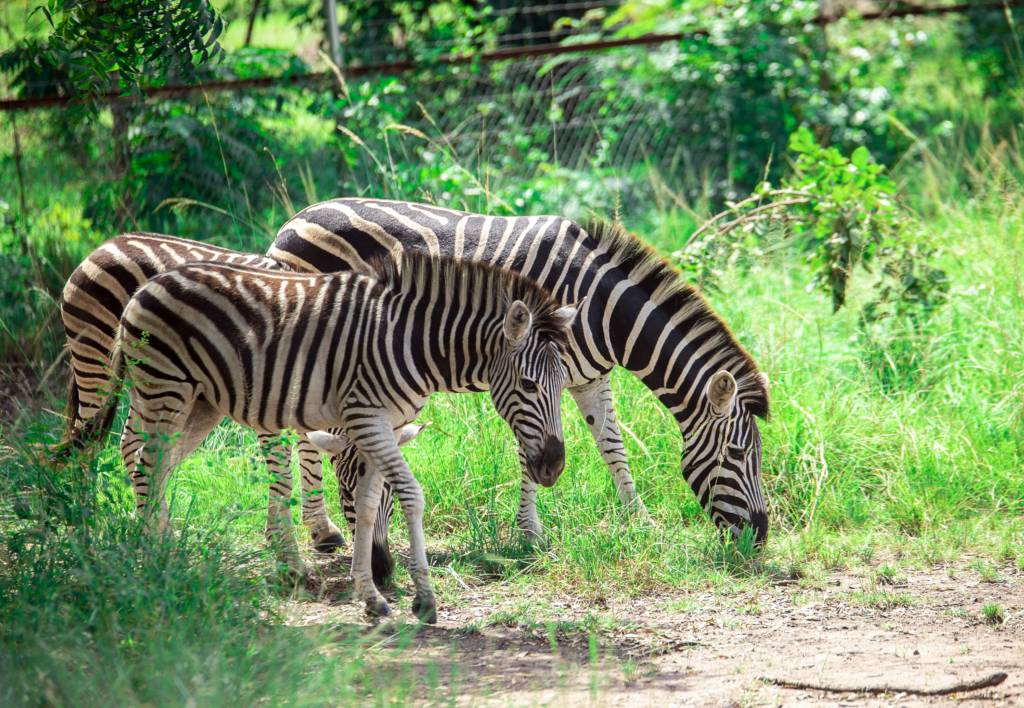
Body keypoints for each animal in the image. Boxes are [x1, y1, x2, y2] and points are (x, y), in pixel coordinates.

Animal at [58, 232, 352, 577]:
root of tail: (107, 244)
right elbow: (284, 468)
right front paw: (289, 552)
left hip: (156, 385)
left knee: (133, 446)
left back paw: (156, 537)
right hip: (97, 360)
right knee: (87, 450)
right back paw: (87, 541)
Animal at [73, 253, 581, 618]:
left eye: (563, 385)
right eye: (530, 385)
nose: (554, 468)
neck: (412, 344)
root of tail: (144, 288)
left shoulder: (381, 425)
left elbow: (372, 504)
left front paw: (372, 596)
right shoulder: (367, 416)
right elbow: (412, 494)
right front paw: (423, 598)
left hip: (200, 402)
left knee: (159, 466)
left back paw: (168, 556)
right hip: (164, 387)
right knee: (144, 464)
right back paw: (156, 562)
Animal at [272, 196, 770, 561]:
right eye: (739, 454)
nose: (760, 538)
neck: (601, 311)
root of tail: (293, 220)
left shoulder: (590, 378)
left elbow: (612, 446)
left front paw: (640, 523)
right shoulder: (535, 375)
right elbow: (532, 455)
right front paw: (531, 534)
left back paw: (320, 530)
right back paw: (317, 530)